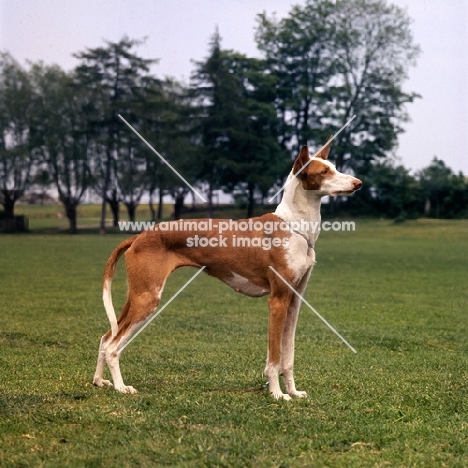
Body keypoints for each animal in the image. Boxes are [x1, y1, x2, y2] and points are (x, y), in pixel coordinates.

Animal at [92, 139, 362, 398]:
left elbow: (288, 356)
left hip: (137, 295)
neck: (295, 226)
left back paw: (99, 381)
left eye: (334, 167)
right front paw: (277, 394)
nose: (358, 183)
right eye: (324, 171)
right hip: (147, 298)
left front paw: (293, 392)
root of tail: (139, 236)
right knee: (114, 346)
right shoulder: (277, 300)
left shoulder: (294, 301)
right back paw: (121, 387)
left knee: (106, 338)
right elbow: (274, 358)